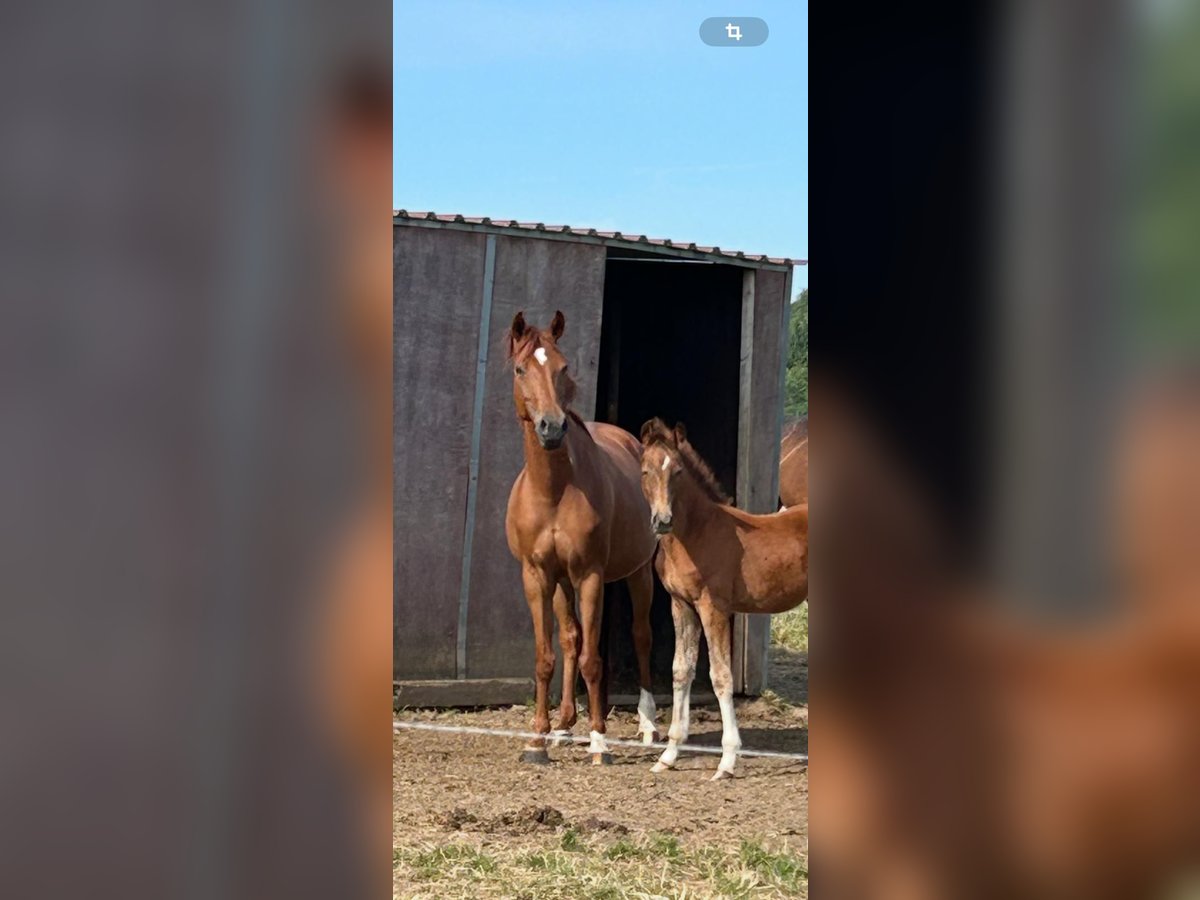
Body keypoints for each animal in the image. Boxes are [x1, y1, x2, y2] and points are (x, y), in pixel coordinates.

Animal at [504, 310, 660, 764]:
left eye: (563, 366)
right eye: (520, 369)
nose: (552, 428)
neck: (553, 490)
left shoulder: (590, 574)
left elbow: (593, 658)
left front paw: (599, 739)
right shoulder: (538, 576)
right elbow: (548, 655)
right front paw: (539, 738)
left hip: (639, 573)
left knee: (641, 636)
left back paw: (646, 724)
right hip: (562, 582)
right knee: (572, 638)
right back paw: (564, 725)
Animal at [638, 418, 809, 779]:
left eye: (678, 471)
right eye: (645, 470)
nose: (663, 521)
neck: (697, 534)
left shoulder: (712, 606)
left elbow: (720, 675)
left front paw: (727, 761)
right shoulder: (681, 605)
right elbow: (681, 670)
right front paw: (669, 755)